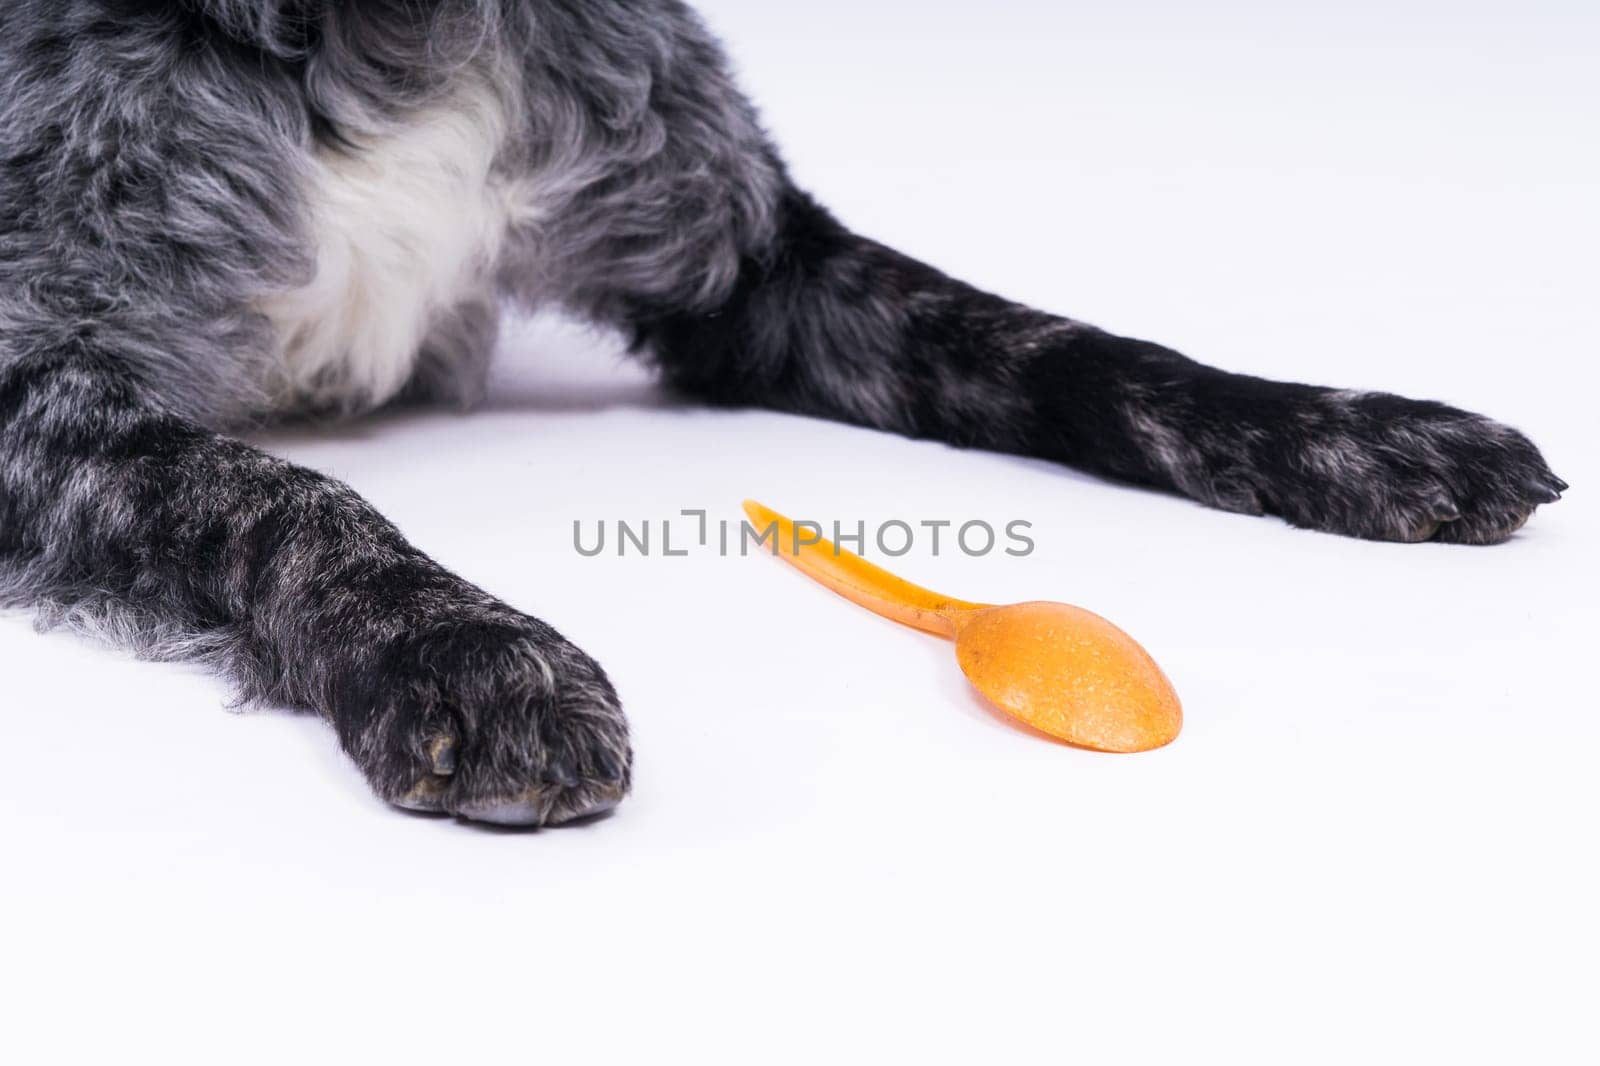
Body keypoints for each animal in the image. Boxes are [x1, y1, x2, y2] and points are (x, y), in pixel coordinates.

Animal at [0, 0, 1561, 825]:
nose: (454, 649)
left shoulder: (753, 274)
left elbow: (1067, 351)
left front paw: (1356, 430)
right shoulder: (35, 384)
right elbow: (270, 493)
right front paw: (465, 649)